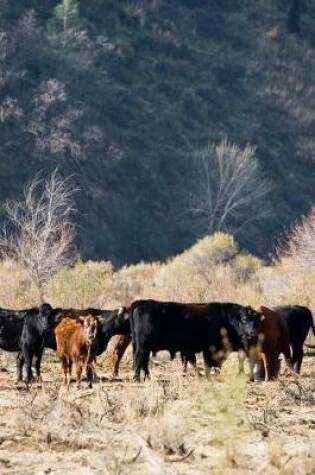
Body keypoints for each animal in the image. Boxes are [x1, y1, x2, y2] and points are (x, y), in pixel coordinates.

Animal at [103, 302, 262, 384]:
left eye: (256, 320)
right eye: (244, 320)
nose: (253, 332)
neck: (226, 319)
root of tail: (140, 303)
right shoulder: (210, 350)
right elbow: (208, 364)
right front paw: (208, 377)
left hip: (143, 347)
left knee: (143, 362)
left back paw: (146, 378)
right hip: (142, 347)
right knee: (138, 360)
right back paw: (137, 379)